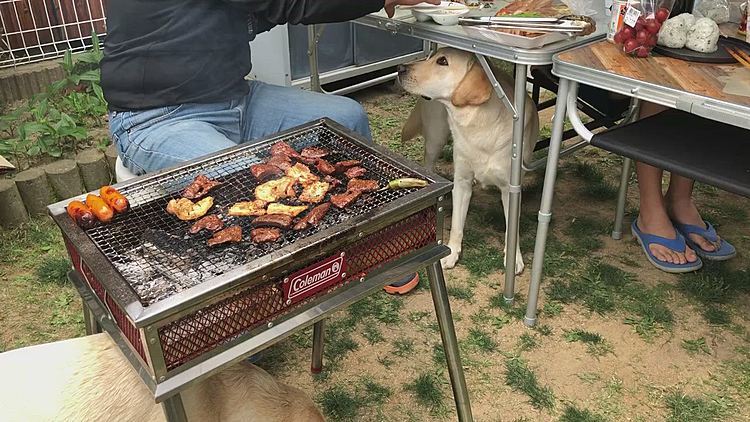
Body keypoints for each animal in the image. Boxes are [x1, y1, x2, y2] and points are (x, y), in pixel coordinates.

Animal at [400, 47, 540, 276]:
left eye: (442, 61)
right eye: (431, 57)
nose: (400, 68)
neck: (479, 123)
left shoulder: (510, 190)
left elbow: (512, 230)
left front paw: (514, 259)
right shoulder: (461, 182)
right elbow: (457, 224)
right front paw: (452, 253)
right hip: (436, 139)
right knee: (428, 165)